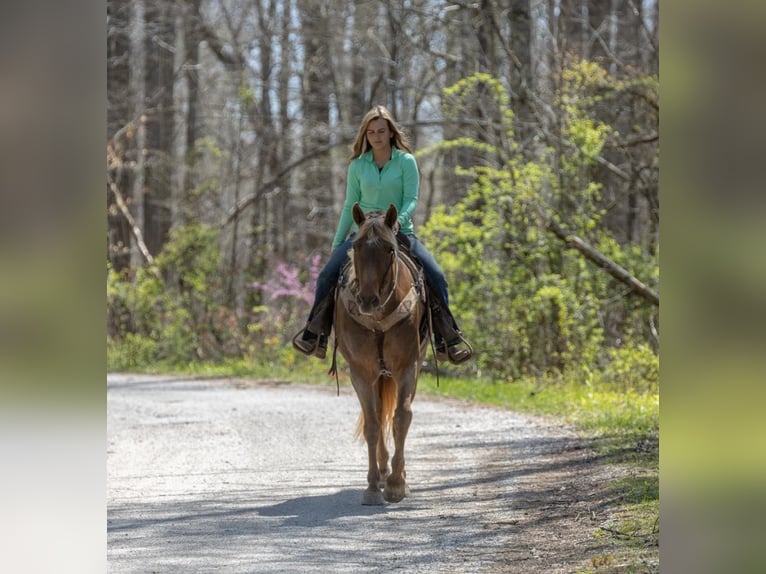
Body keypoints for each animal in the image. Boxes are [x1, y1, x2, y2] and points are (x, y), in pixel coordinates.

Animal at [332, 202, 429, 505]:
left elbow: (401, 417)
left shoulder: (408, 367)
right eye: (357, 245)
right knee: (376, 414)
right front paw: (374, 486)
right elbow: (373, 425)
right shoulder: (361, 373)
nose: (367, 300)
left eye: (388, 249)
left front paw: (397, 484)